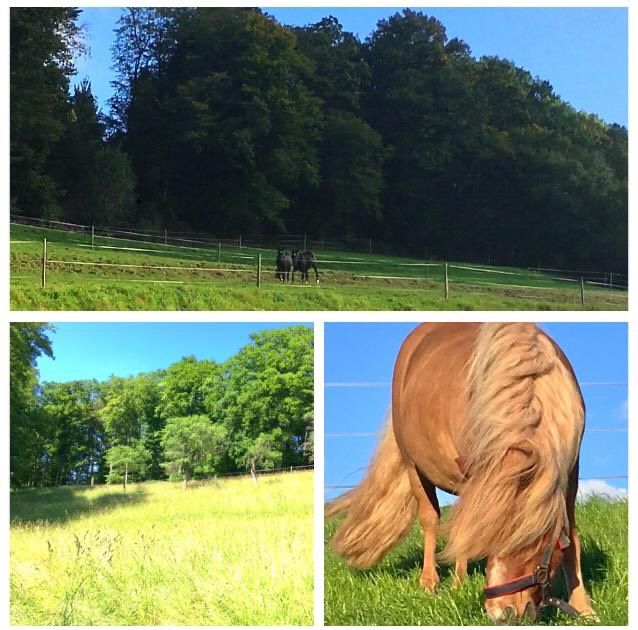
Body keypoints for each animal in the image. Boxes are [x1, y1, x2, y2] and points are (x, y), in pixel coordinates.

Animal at [328, 324, 596, 624]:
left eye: (533, 540)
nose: (502, 613)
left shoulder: (569, 472)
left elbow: (571, 535)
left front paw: (584, 609)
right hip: (414, 466)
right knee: (432, 520)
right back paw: (433, 582)